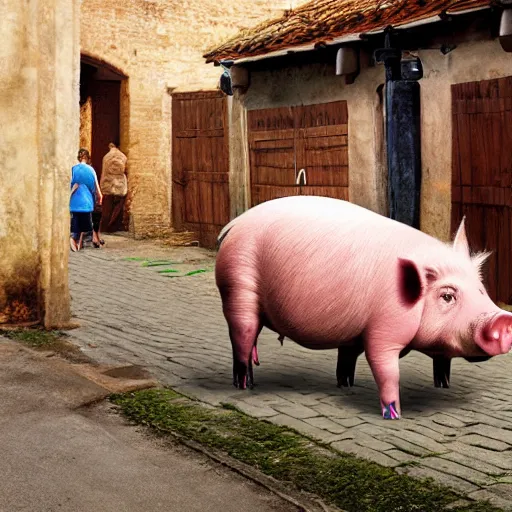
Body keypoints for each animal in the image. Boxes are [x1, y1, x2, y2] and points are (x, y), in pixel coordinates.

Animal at [215, 196, 512, 420]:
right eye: (448, 295)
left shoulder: (358, 333)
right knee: (241, 336)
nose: (502, 319)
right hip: (237, 288)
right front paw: (395, 415)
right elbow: (386, 370)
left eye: (481, 288)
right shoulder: (382, 331)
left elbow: (438, 363)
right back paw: (246, 385)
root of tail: (234, 224)